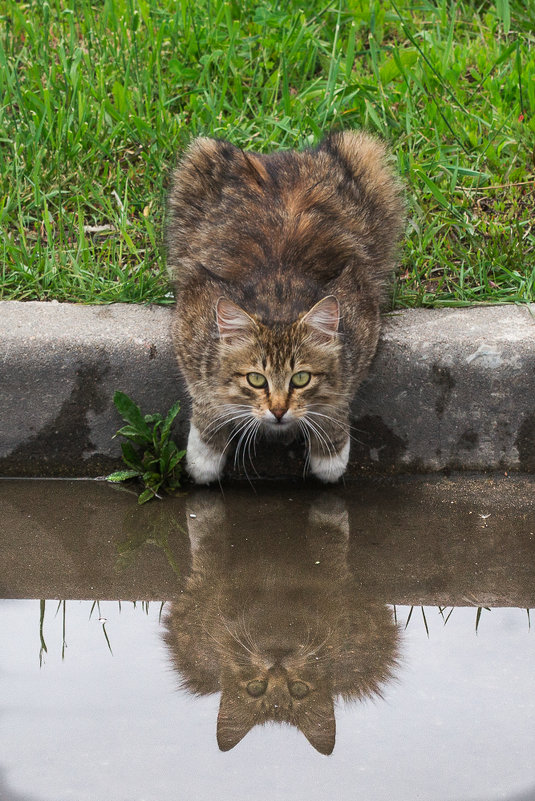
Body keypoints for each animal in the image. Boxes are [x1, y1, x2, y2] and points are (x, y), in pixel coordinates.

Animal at [163, 490, 402, 752]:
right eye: (255, 688)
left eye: (299, 689)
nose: (276, 667)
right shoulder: (205, 594)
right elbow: (209, 542)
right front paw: (204, 505)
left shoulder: (342, 591)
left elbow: (328, 540)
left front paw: (328, 507)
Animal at [165, 131, 404, 482]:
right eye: (256, 380)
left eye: (301, 379)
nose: (278, 411)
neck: (278, 302)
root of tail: (281, 156)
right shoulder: (189, 326)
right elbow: (206, 397)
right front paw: (204, 457)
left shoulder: (362, 322)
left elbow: (338, 399)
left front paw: (330, 456)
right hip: (200, 155)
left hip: (361, 151)